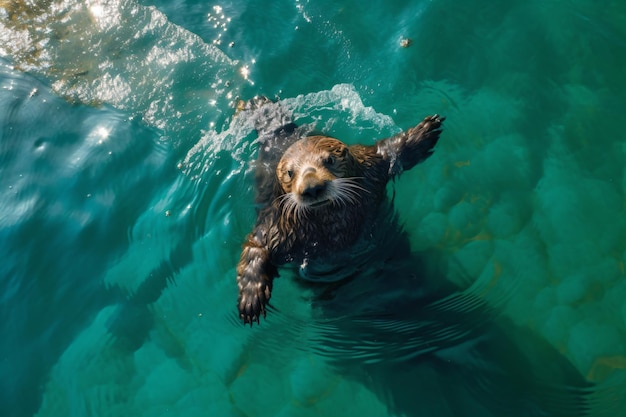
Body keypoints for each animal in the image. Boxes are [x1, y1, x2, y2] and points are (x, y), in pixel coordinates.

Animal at [235, 96, 444, 324]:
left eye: (329, 160)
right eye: (290, 172)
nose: (311, 187)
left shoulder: (372, 168)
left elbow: (389, 152)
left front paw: (424, 131)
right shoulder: (274, 227)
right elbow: (255, 248)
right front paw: (251, 297)